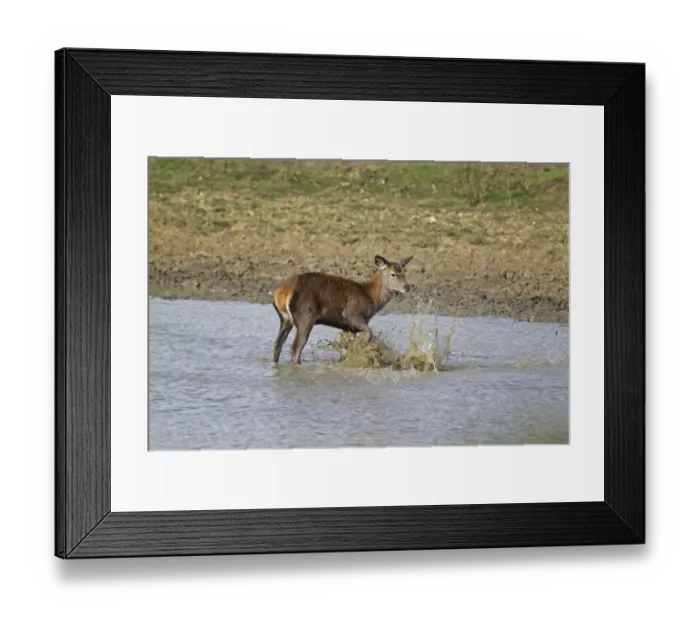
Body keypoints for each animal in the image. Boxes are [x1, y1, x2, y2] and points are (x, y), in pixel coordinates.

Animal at [272, 255, 414, 364]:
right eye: (393, 274)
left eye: (404, 273)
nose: (407, 287)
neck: (371, 297)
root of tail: (282, 291)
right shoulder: (352, 314)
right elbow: (370, 332)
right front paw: (361, 347)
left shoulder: (348, 327)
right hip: (305, 315)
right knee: (296, 347)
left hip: (285, 319)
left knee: (277, 344)